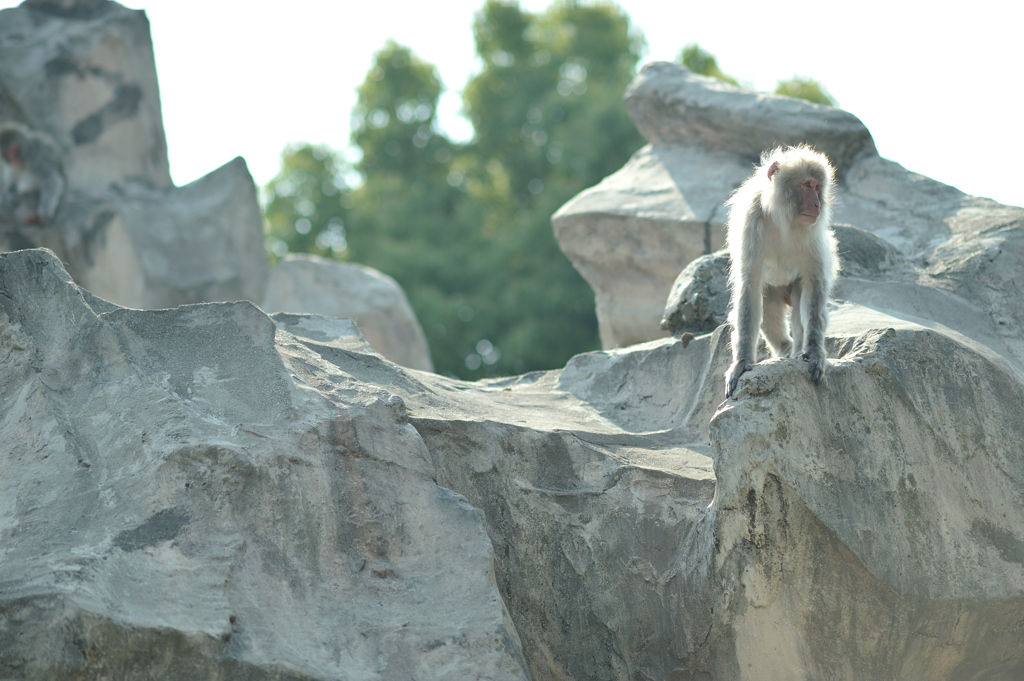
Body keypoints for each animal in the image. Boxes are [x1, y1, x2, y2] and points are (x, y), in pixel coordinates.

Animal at [724, 146, 835, 395]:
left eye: (818, 187)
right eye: (807, 185)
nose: (817, 205)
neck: (784, 220)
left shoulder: (812, 233)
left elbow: (814, 284)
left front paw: (814, 352)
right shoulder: (751, 221)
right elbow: (749, 285)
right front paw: (741, 363)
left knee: (802, 299)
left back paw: (797, 350)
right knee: (764, 299)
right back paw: (784, 348)